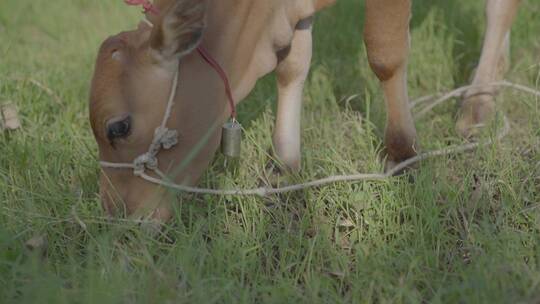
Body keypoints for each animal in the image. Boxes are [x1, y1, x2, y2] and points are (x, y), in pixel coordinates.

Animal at [88, 0, 520, 220]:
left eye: (118, 127)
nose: (116, 215)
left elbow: (384, 52)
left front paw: (403, 152)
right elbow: (292, 65)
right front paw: (284, 162)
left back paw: (478, 103)